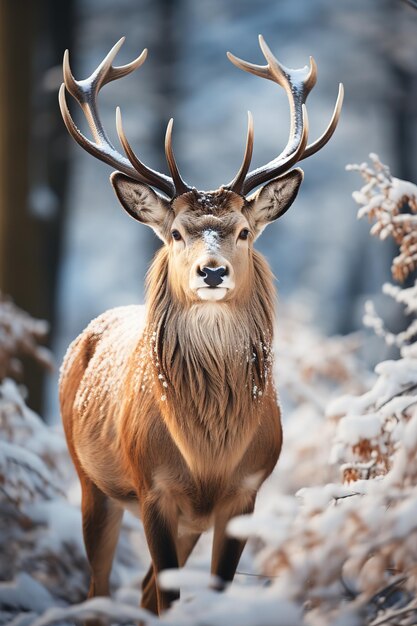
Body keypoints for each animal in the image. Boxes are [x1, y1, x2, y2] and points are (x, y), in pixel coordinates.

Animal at [58, 36, 342, 616]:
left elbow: (210, 592)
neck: (208, 454)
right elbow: (169, 597)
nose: (212, 271)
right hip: (90, 479)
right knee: (99, 591)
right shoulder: (153, 488)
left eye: (244, 230)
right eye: (175, 232)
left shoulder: (246, 491)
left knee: (143, 590)